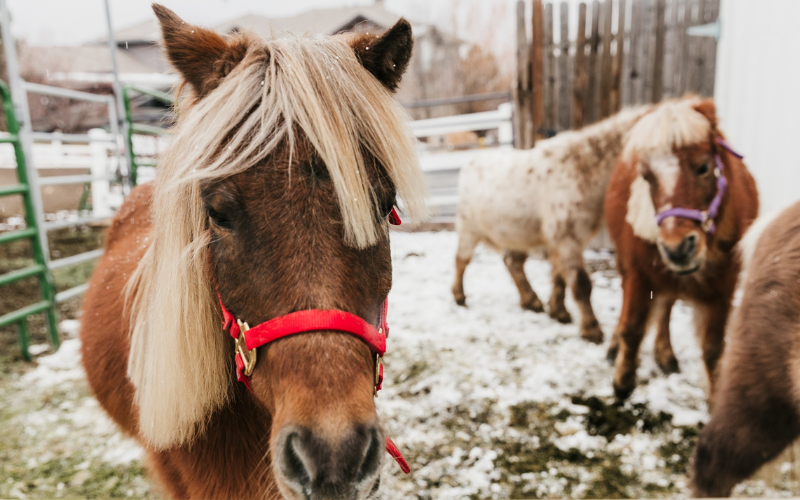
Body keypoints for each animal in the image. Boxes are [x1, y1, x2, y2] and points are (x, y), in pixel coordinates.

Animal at [454, 104, 648, 340]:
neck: (582, 168)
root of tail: (471, 163)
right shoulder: (566, 237)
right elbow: (580, 282)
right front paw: (591, 328)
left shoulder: (563, 239)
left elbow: (560, 277)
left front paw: (559, 312)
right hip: (469, 229)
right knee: (462, 260)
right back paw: (459, 296)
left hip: (515, 232)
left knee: (512, 262)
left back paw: (531, 301)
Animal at [604, 98, 760, 398]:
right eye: (646, 177)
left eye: (703, 166)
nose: (677, 249)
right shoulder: (638, 273)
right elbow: (632, 327)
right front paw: (622, 381)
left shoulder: (724, 289)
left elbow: (713, 350)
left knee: (667, 305)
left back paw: (665, 353)